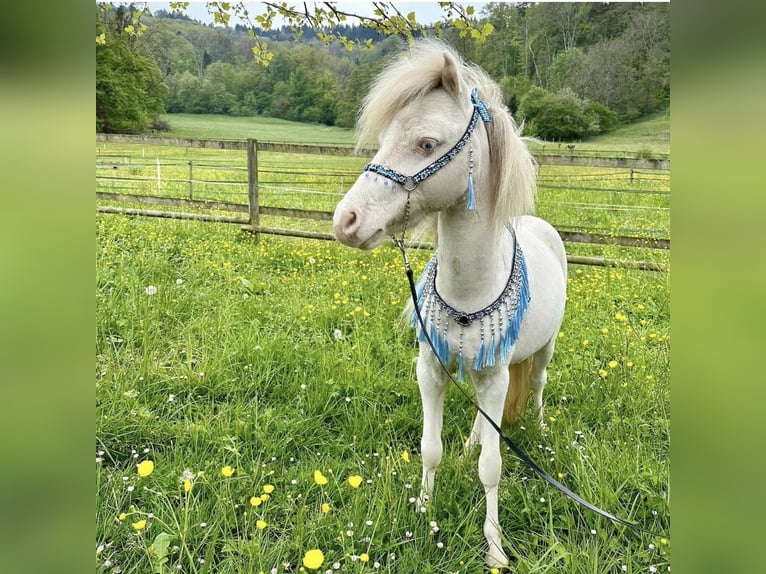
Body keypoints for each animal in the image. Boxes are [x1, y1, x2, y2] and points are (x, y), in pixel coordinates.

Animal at [332, 41, 567, 569]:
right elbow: (430, 448)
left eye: (426, 144)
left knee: (536, 386)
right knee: (483, 420)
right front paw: (423, 509)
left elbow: (492, 467)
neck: (469, 290)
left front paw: (495, 547)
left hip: (541, 352)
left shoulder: (498, 376)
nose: (346, 221)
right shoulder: (431, 371)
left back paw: (541, 427)